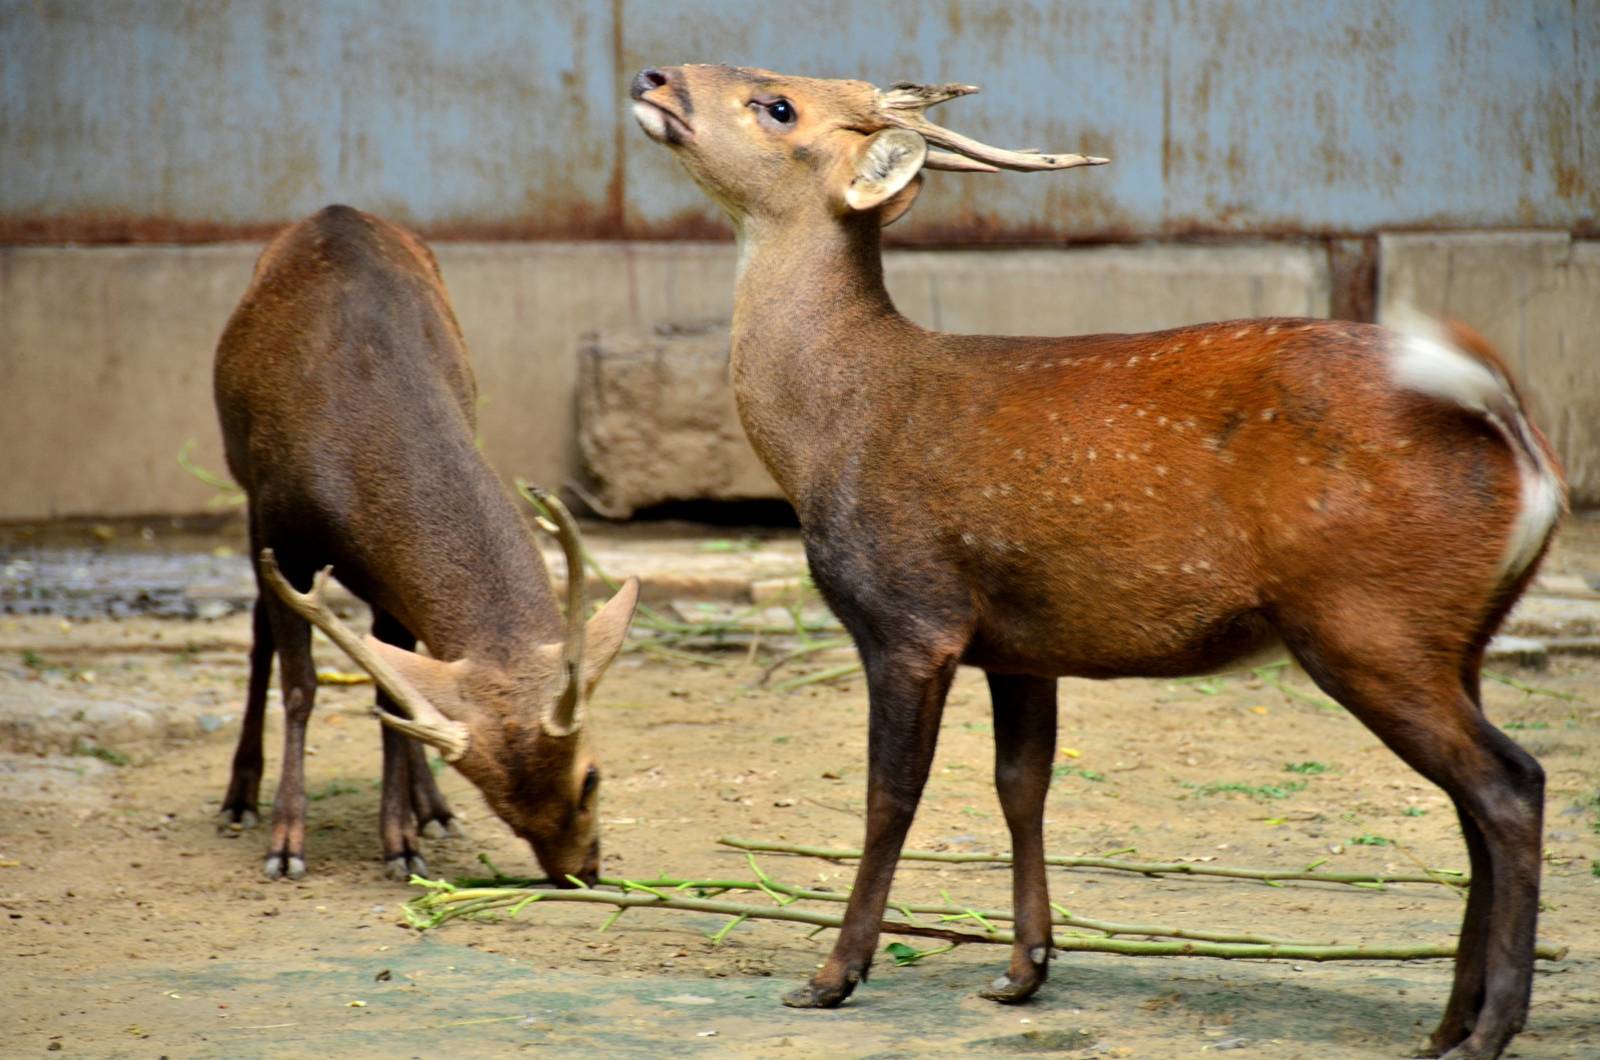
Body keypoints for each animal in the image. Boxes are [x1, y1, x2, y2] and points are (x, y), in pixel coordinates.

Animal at [213, 204, 639, 885]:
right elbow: (300, 685)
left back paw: (431, 809)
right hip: (249, 499)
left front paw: (403, 841)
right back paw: (239, 799)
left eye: (592, 777)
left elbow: (395, 696)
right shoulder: (280, 532)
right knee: (259, 638)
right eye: (500, 805)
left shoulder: (390, 581)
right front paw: (286, 842)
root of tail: (332, 210)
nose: (581, 874)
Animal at [630, 65, 1565, 1059]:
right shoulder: (1017, 643)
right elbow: (1022, 784)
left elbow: (892, 795)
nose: (655, 76)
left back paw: (1489, 1028)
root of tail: (1523, 443)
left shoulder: (910, 612)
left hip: (1369, 622)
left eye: (778, 107)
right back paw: (1445, 1026)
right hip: (1451, 637)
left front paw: (831, 978)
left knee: (1511, 784)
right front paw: (1023, 970)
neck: (828, 433)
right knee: (1474, 803)